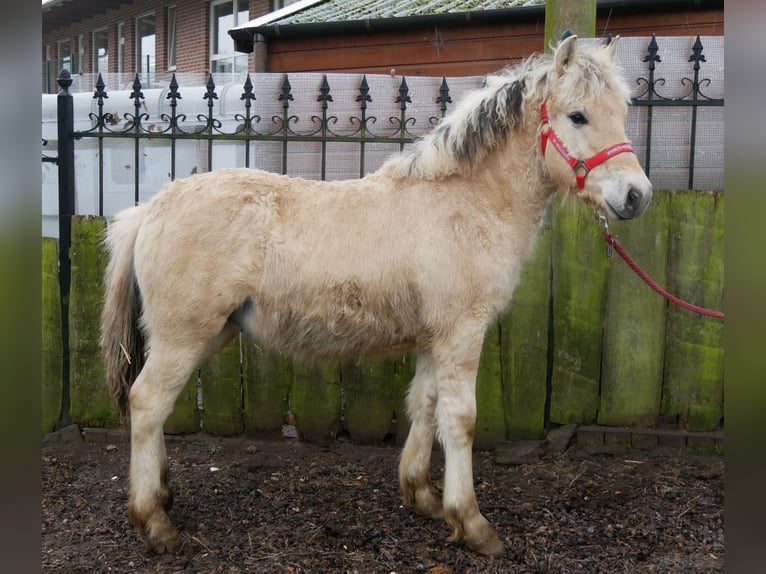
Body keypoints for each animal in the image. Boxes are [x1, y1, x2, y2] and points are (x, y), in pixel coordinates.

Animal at [100, 35, 656, 560]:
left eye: (622, 112)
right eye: (578, 115)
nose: (636, 196)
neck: (465, 202)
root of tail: (150, 210)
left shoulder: (435, 339)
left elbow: (425, 406)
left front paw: (423, 496)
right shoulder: (462, 335)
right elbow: (460, 421)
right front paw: (472, 523)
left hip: (208, 334)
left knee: (156, 409)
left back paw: (163, 497)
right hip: (184, 337)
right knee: (147, 403)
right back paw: (155, 522)